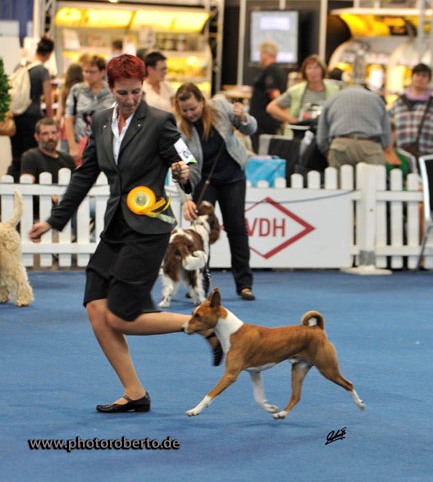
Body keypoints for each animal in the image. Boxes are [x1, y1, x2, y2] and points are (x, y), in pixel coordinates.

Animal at [182, 289, 365, 419]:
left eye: (198, 316)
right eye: (192, 314)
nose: (184, 327)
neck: (231, 332)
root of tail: (317, 329)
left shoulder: (230, 374)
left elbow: (210, 394)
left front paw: (194, 410)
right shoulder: (255, 372)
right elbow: (258, 398)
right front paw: (270, 408)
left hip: (327, 368)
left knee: (348, 384)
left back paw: (360, 404)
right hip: (299, 369)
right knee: (296, 396)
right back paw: (281, 414)